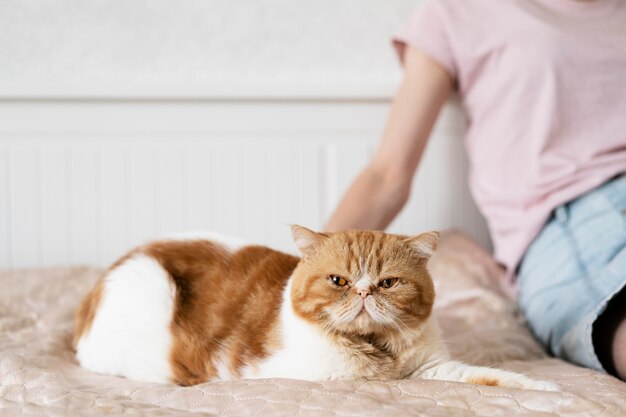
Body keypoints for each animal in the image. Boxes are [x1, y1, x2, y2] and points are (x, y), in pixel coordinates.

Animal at [73, 224, 556, 390]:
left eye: (387, 283)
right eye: (339, 281)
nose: (363, 293)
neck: (378, 351)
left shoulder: (430, 369)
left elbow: (489, 378)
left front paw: (545, 389)